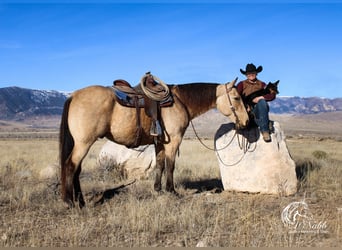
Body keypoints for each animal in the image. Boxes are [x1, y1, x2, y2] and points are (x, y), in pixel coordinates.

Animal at [59, 73, 248, 207]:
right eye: (236, 98)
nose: (247, 121)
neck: (181, 101)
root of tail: (73, 96)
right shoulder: (174, 141)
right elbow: (170, 165)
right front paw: (171, 191)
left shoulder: (161, 143)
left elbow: (159, 164)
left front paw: (158, 189)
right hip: (84, 143)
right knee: (70, 166)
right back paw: (70, 202)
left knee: (76, 169)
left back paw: (80, 201)